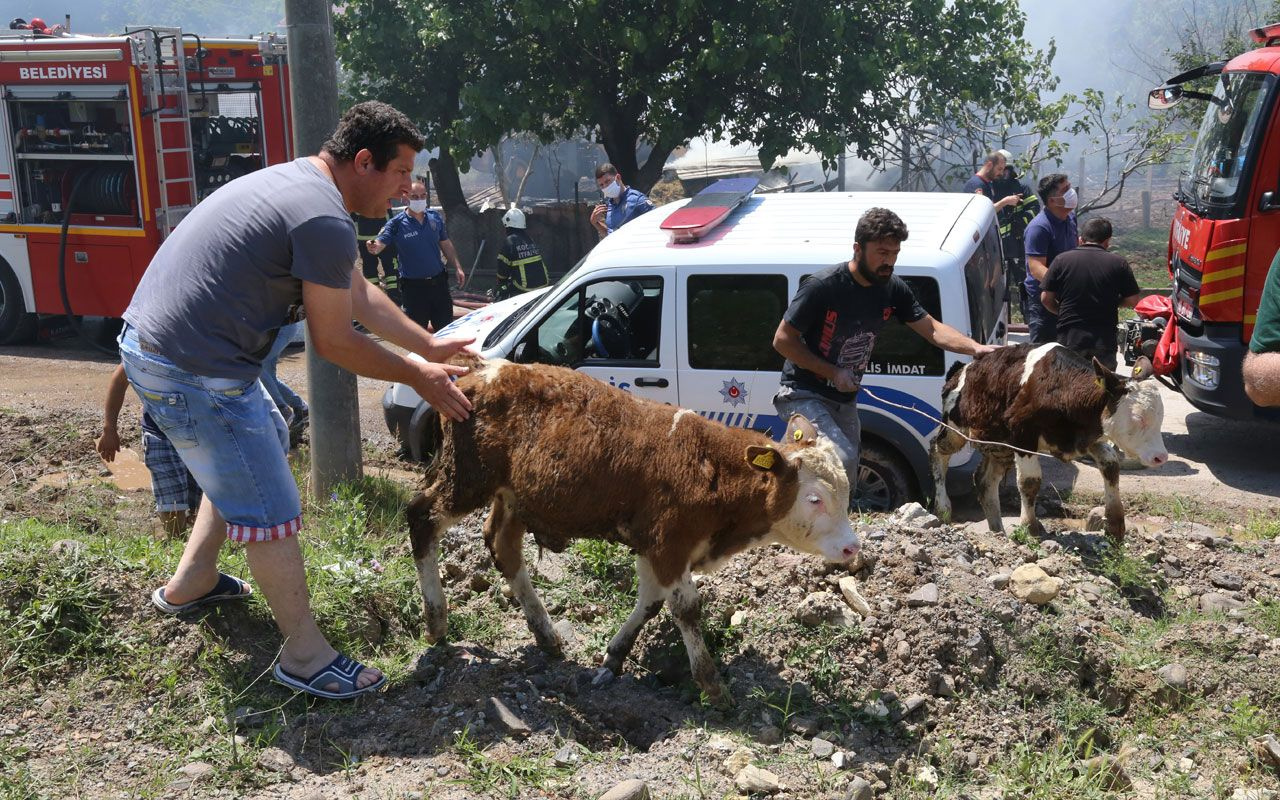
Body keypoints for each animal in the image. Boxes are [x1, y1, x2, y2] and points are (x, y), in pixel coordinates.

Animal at [407, 358, 860, 701]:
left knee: (503, 547)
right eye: (815, 499)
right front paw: (711, 684)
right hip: (466, 478)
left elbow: (651, 602)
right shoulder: (669, 544)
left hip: (514, 495)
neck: (713, 470)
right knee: (422, 517)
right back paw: (437, 621)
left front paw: (614, 657)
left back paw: (546, 634)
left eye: (847, 492)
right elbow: (686, 609)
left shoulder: (654, 547)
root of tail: (487, 369)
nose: (852, 548)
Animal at [926, 340, 1167, 540]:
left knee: (985, 480)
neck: (1061, 388)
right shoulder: (1022, 434)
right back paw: (943, 507)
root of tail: (960, 369)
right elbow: (1030, 481)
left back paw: (997, 530)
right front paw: (1031, 527)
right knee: (937, 450)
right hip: (954, 428)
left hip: (999, 446)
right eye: (1138, 418)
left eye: (1160, 417)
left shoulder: (1085, 438)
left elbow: (1111, 465)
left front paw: (1115, 524)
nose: (1161, 457)